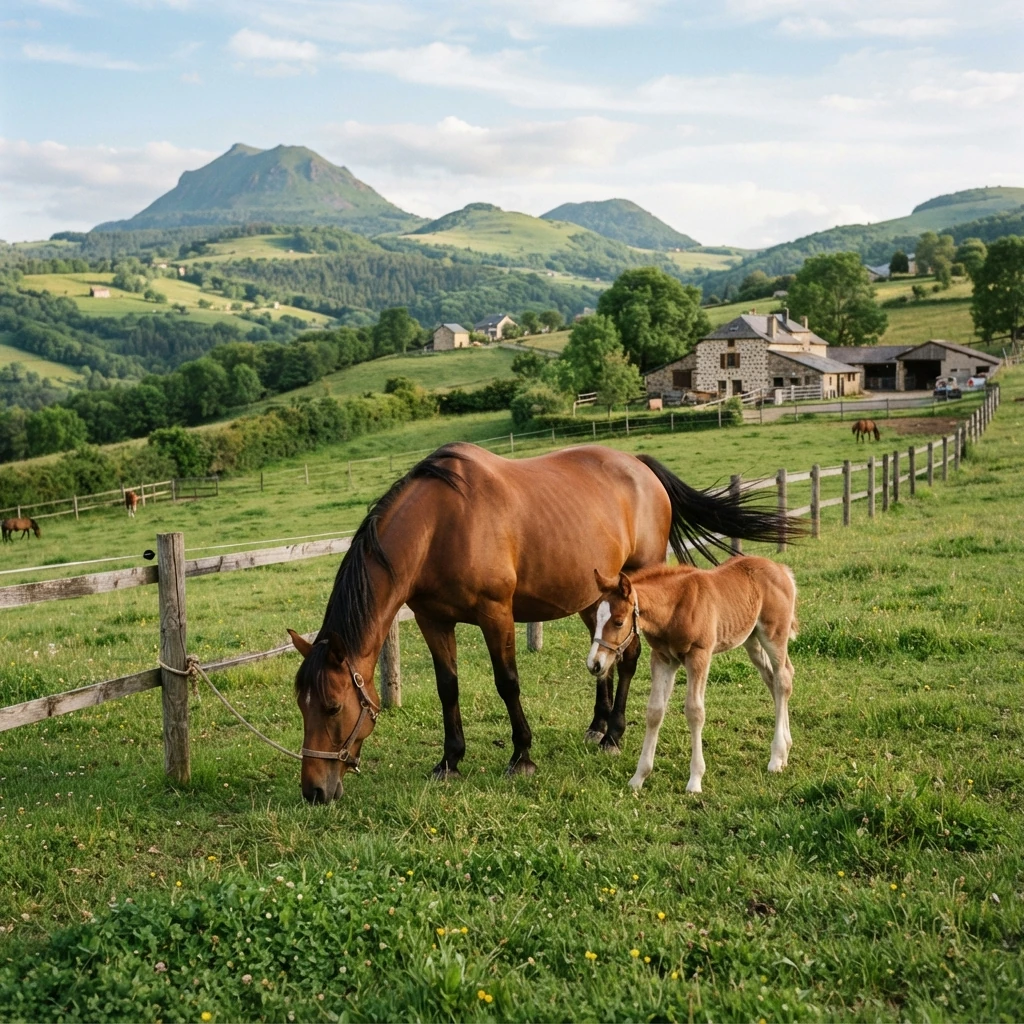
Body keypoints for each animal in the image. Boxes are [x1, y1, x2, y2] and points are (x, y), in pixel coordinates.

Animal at [587, 557, 797, 795]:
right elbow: (654, 712)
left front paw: (695, 780)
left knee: (783, 680)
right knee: (773, 680)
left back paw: (776, 758)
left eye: (619, 622)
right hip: (752, 640)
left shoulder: (699, 655)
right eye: (595, 619)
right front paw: (638, 777)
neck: (674, 607)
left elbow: (695, 712)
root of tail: (782, 569)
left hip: (774, 634)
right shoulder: (662, 659)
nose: (595, 664)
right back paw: (785, 752)